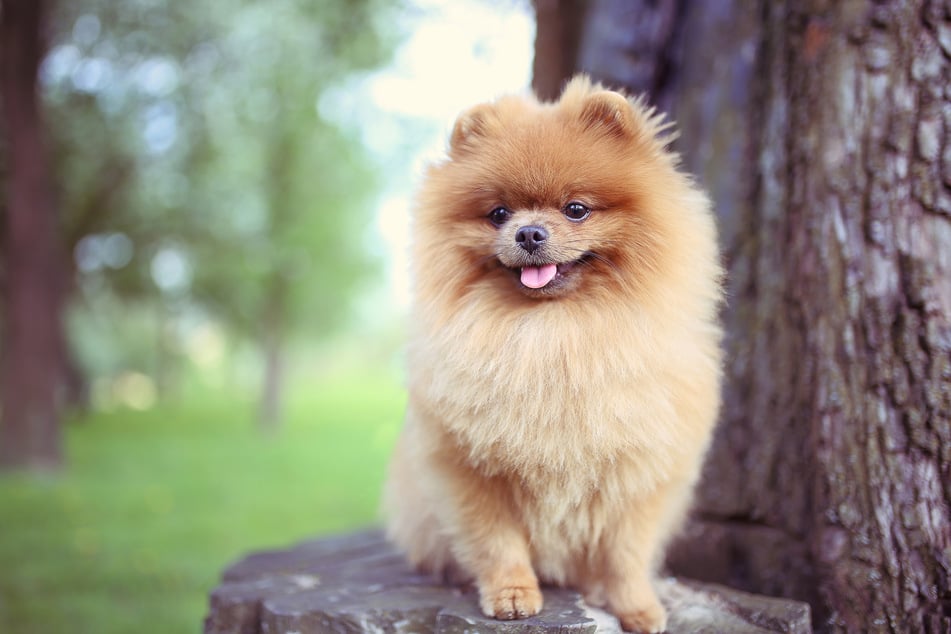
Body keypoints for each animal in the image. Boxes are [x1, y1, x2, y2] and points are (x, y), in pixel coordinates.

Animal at [384, 76, 724, 628]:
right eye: (499, 213)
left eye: (576, 209)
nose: (528, 232)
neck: (553, 334)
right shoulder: (471, 469)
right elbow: (497, 542)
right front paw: (513, 594)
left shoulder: (639, 472)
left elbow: (627, 552)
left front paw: (637, 606)